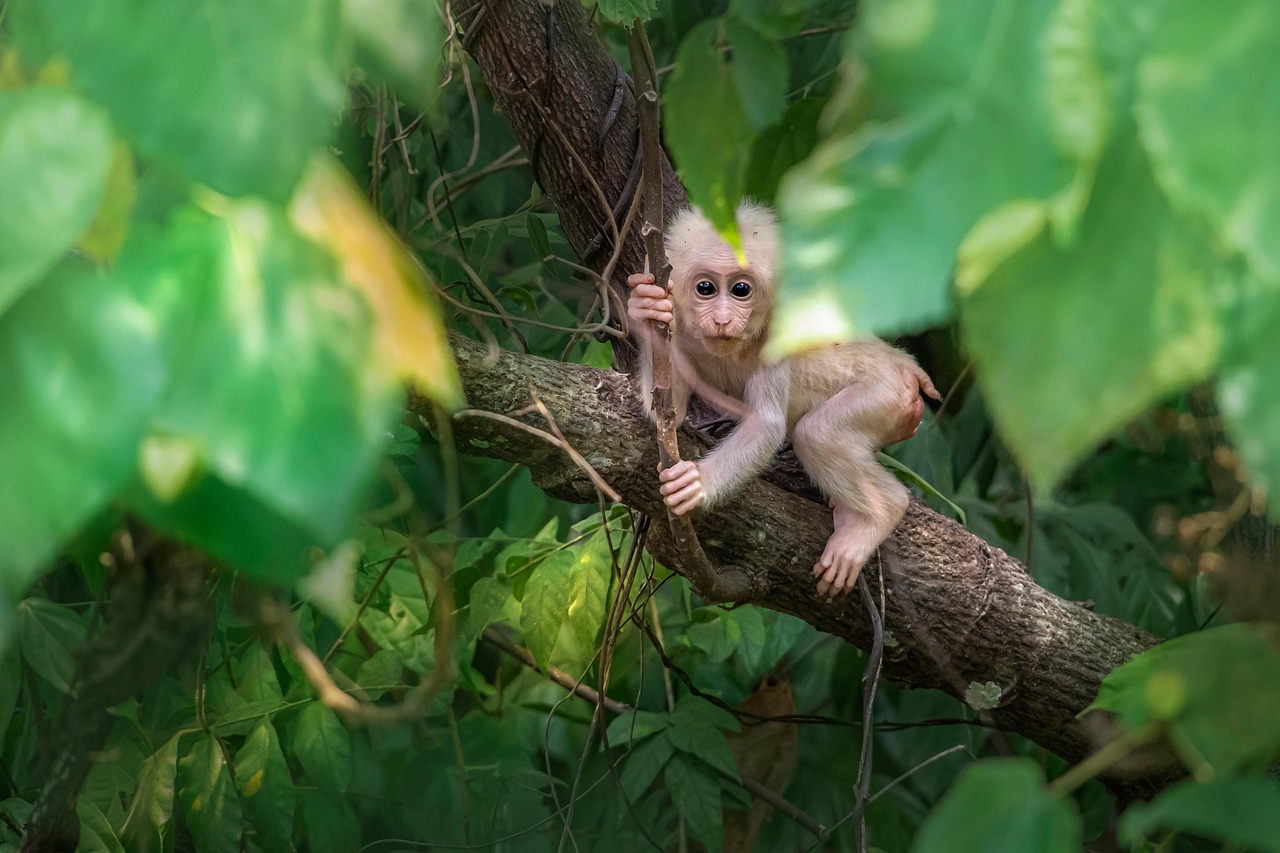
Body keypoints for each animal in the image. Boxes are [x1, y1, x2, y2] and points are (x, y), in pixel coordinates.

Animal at [627, 201, 939, 596]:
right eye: (705, 288)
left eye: (741, 289)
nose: (722, 319)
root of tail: (907, 367)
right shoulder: (680, 328)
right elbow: (669, 413)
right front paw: (644, 306)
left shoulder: (777, 332)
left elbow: (766, 424)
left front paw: (698, 484)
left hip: (887, 392)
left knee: (817, 433)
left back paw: (879, 514)